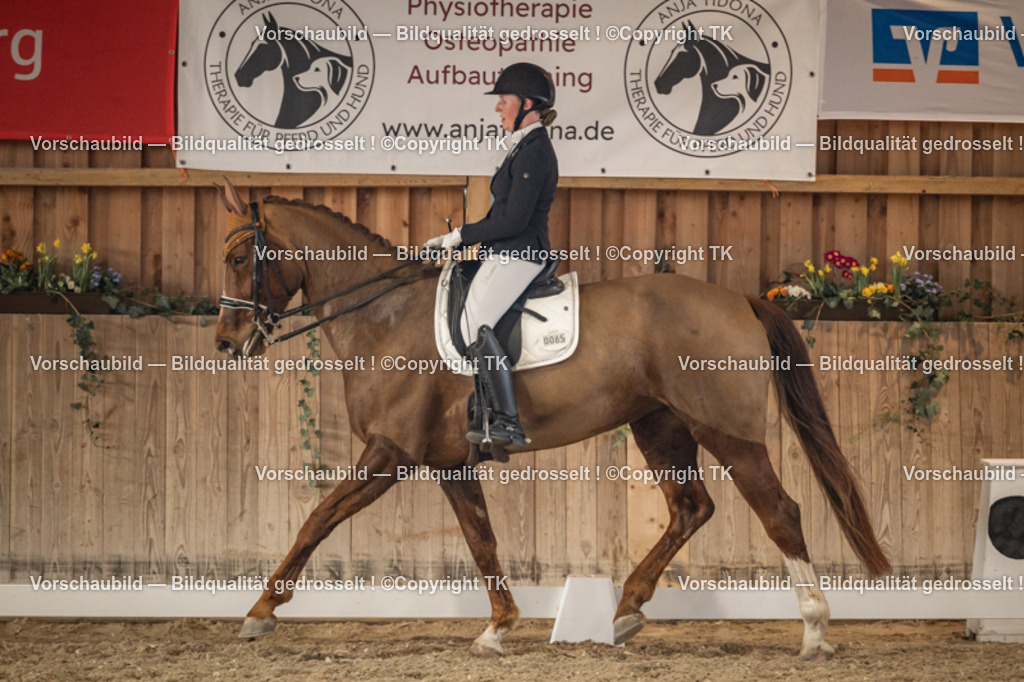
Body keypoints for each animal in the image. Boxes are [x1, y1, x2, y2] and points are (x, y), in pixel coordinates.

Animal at [213, 184, 891, 660]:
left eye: (242, 256)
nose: (225, 343)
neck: (386, 315)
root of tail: (739, 300)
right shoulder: (449, 462)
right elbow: (481, 538)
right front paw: (498, 628)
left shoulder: (389, 453)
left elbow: (317, 519)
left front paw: (259, 613)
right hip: (660, 427)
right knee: (691, 507)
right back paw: (626, 610)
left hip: (727, 433)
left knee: (779, 512)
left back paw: (813, 631)